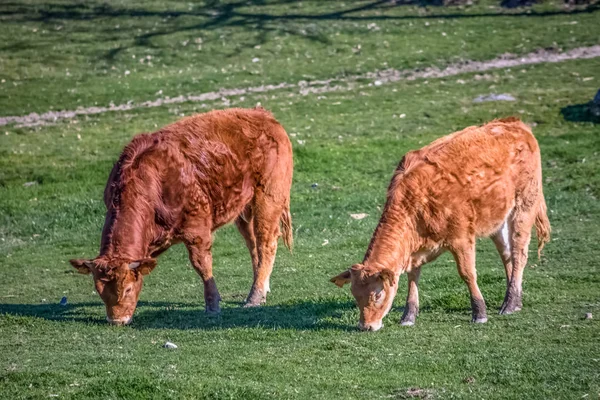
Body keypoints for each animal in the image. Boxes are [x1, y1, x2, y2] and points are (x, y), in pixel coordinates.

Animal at [70, 107, 292, 324]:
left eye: (128, 289)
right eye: (99, 291)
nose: (117, 320)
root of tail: (263, 115)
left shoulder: (197, 229)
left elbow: (202, 265)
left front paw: (213, 305)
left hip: (268, 198)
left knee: (266, 243)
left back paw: (255, 295)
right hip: (244, 209)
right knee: (253, 244)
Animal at [330, 118, 552, 332]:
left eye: (377, 294)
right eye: (354, 295)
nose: (366, 326)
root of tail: (514, 123)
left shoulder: (461, 238)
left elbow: (467, 273)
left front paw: (479, 313)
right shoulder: (414, 251)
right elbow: (413, 277)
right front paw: (408, 316)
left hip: (525, 205)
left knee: (519, 253)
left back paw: (510, 303)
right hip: (497, 220)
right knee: (507, 255)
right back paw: (514, 300)